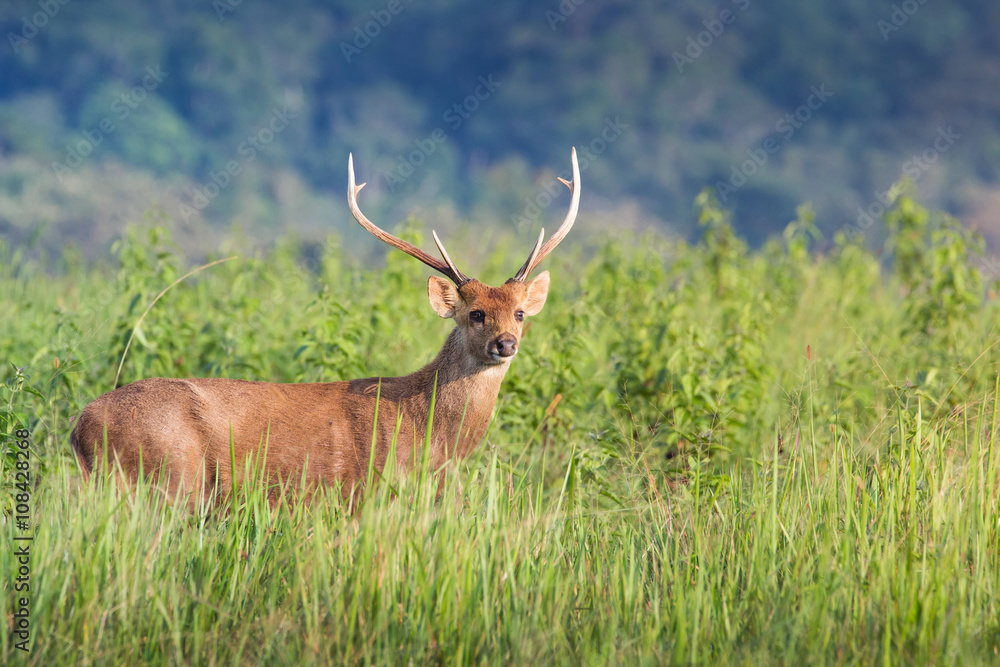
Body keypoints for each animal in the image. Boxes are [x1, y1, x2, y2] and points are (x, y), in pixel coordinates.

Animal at [70, 148, 580, 509]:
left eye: (519, 312)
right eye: (474, 313)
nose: (505, 343)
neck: (431, 437)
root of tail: (79, 427)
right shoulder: (362, 494)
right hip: (170, 477)